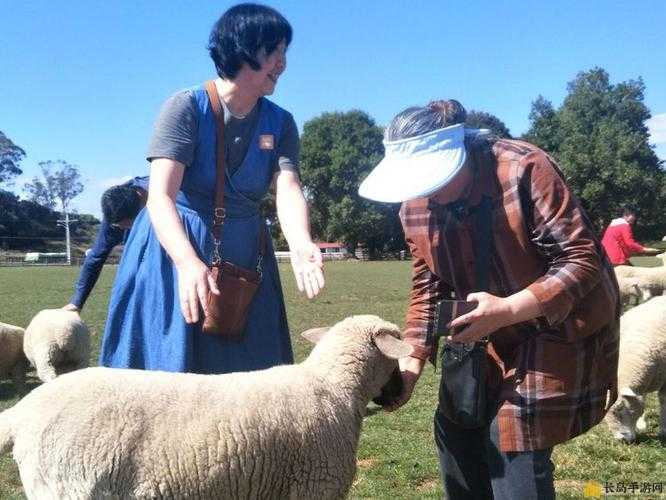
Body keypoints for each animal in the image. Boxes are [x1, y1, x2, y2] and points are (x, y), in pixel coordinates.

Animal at [0, 314, 412, 498]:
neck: (333, 387)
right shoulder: (315, 487)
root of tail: (22, 413)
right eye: (394, 359)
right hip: (68, 487)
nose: (398, 394)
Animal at [600, 294, 664, 444]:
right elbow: (641, 399)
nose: (621, 440)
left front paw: (663, 431)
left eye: (620, 409)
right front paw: (642, 424)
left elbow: (663, 401)